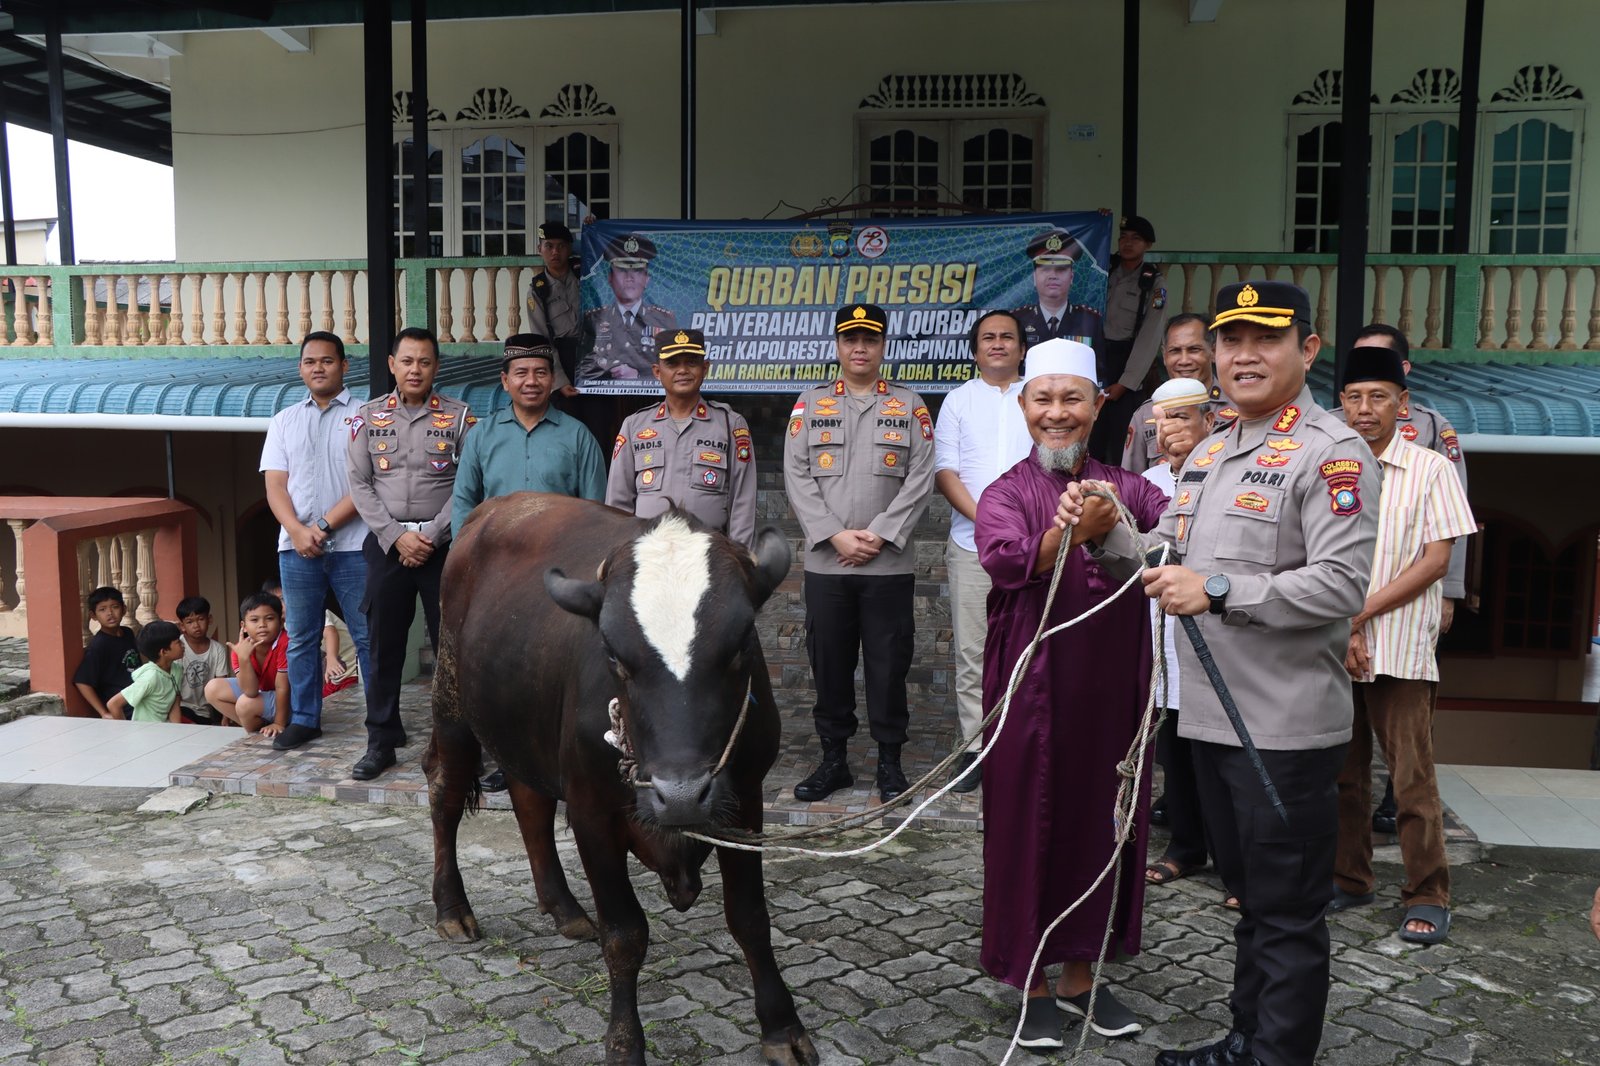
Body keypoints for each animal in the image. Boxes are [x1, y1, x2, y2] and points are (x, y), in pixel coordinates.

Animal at [422, 492, 812, 1056]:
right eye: (612, 653)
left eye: (742, 644)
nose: (682, 795)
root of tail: (498, 507)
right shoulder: (591, 813)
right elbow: (626, 934)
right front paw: (625, 1043)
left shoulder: (748, 800)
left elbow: (750, 917)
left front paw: (783, 1029)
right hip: (452, 703)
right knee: (446, 794)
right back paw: (452, 908)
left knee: (529, 802)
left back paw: (564, 909)